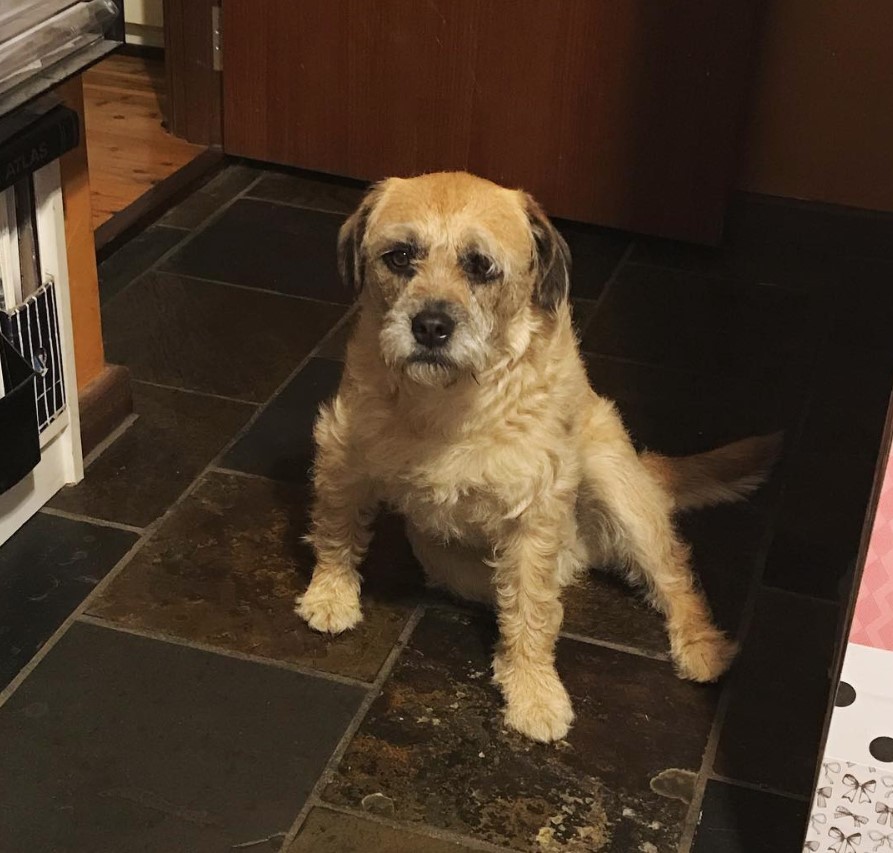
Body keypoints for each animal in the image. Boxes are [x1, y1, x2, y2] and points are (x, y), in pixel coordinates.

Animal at [296, 171, 776, 740]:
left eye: (481, 265)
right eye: (400, 256)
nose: (430, 326)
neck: (449, 400)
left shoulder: (534, 511)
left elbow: (530, 609)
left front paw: (533, 692)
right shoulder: (342, 454)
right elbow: (336, 531)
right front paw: (330, 594)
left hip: (617, 489)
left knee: (670, 577)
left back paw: (700, 645)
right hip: (452, 561)